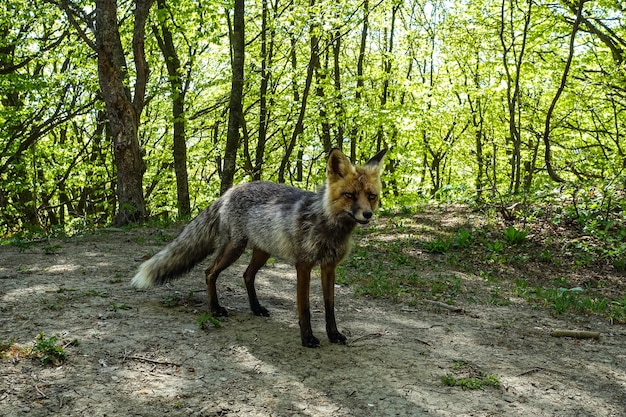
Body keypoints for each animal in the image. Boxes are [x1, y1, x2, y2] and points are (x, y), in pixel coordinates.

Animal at [130, 148, 386, 346]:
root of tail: (229, 191)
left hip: (262, 252)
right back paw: (215, 309)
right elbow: (304, 307)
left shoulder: (329, 267)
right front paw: (307, 338)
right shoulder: (303, 266)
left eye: (371, 196)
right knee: (209, 272)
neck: (329, 227)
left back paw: (256, 308)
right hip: (234, 248)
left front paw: (333, 335)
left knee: (246, 275)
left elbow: (330, 306)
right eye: (350, 195)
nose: (367, 214)